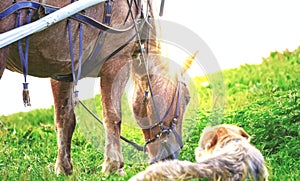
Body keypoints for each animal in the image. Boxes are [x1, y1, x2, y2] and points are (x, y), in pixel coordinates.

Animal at [0, 0, 192, 175]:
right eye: (186, 98)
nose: (174, 156)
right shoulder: (116, 62)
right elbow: (112, 117)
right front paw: (114, 166)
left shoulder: (62, 67)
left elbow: (64, 119)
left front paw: (63, 168)